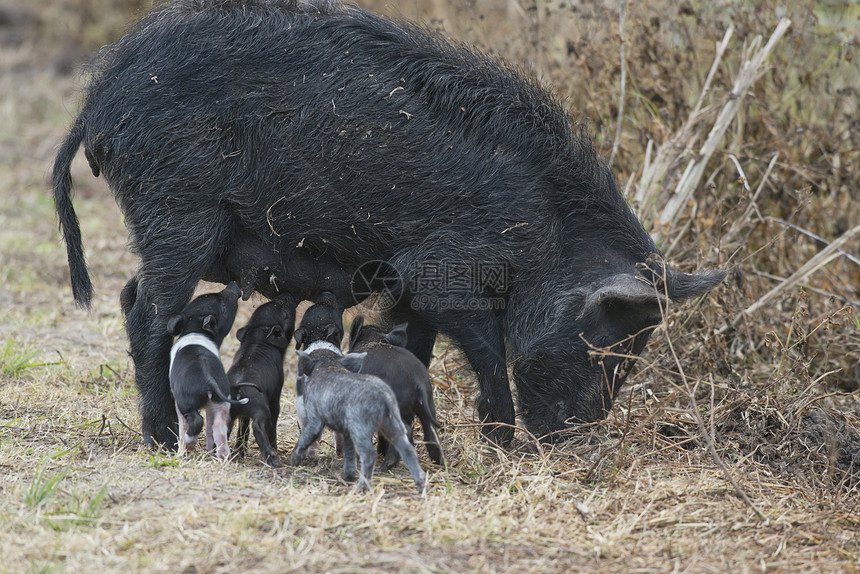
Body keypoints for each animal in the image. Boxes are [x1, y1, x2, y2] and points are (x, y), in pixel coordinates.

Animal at [53, 0, 724, 450]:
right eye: (605, 338)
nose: (572, 438)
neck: (543, 229)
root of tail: (97, 101)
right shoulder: (438, 268)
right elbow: (484, 347)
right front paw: (500, 441)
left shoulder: (408, 289)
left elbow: (414, 346)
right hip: (178, 209)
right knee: (147, 312)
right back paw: (164, 439)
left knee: (131, 294)